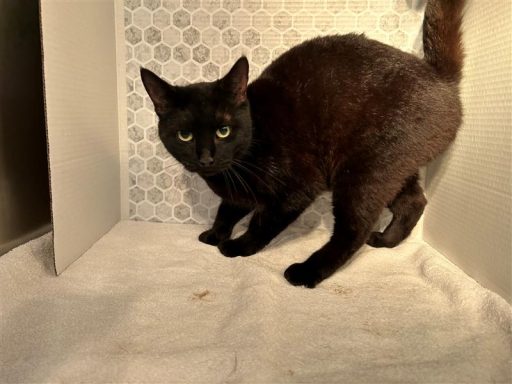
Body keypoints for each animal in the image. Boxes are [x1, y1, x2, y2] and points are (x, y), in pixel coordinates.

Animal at [140, 0, 464, 288]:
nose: (206, 157)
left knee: (355, 229)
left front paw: (237, 246)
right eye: (185, 135)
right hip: (393, 167)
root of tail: (439, 78)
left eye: (223, 130)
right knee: (414, 201)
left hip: (363, 171)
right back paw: (387, 240)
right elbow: (227, 209)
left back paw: (307, 272)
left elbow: (262, 221)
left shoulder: (297, 189)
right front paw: (215, 233)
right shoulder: (239, 191)